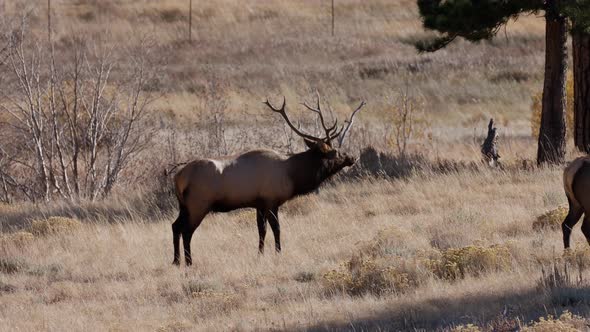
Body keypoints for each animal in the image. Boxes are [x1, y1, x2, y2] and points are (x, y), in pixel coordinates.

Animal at [171, 95, 366, 264]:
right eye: (336, 152)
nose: (352, 157)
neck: (293, 175)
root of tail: (178, 177)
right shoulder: (272, 201)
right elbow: (277, 229)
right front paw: (278, 252)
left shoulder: (259, 203)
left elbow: (261, 230)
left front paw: (260, 254)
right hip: (198, 204)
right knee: (186, 231)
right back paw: (188, 262)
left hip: (184, 206)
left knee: (175, 226)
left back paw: (176, 261)